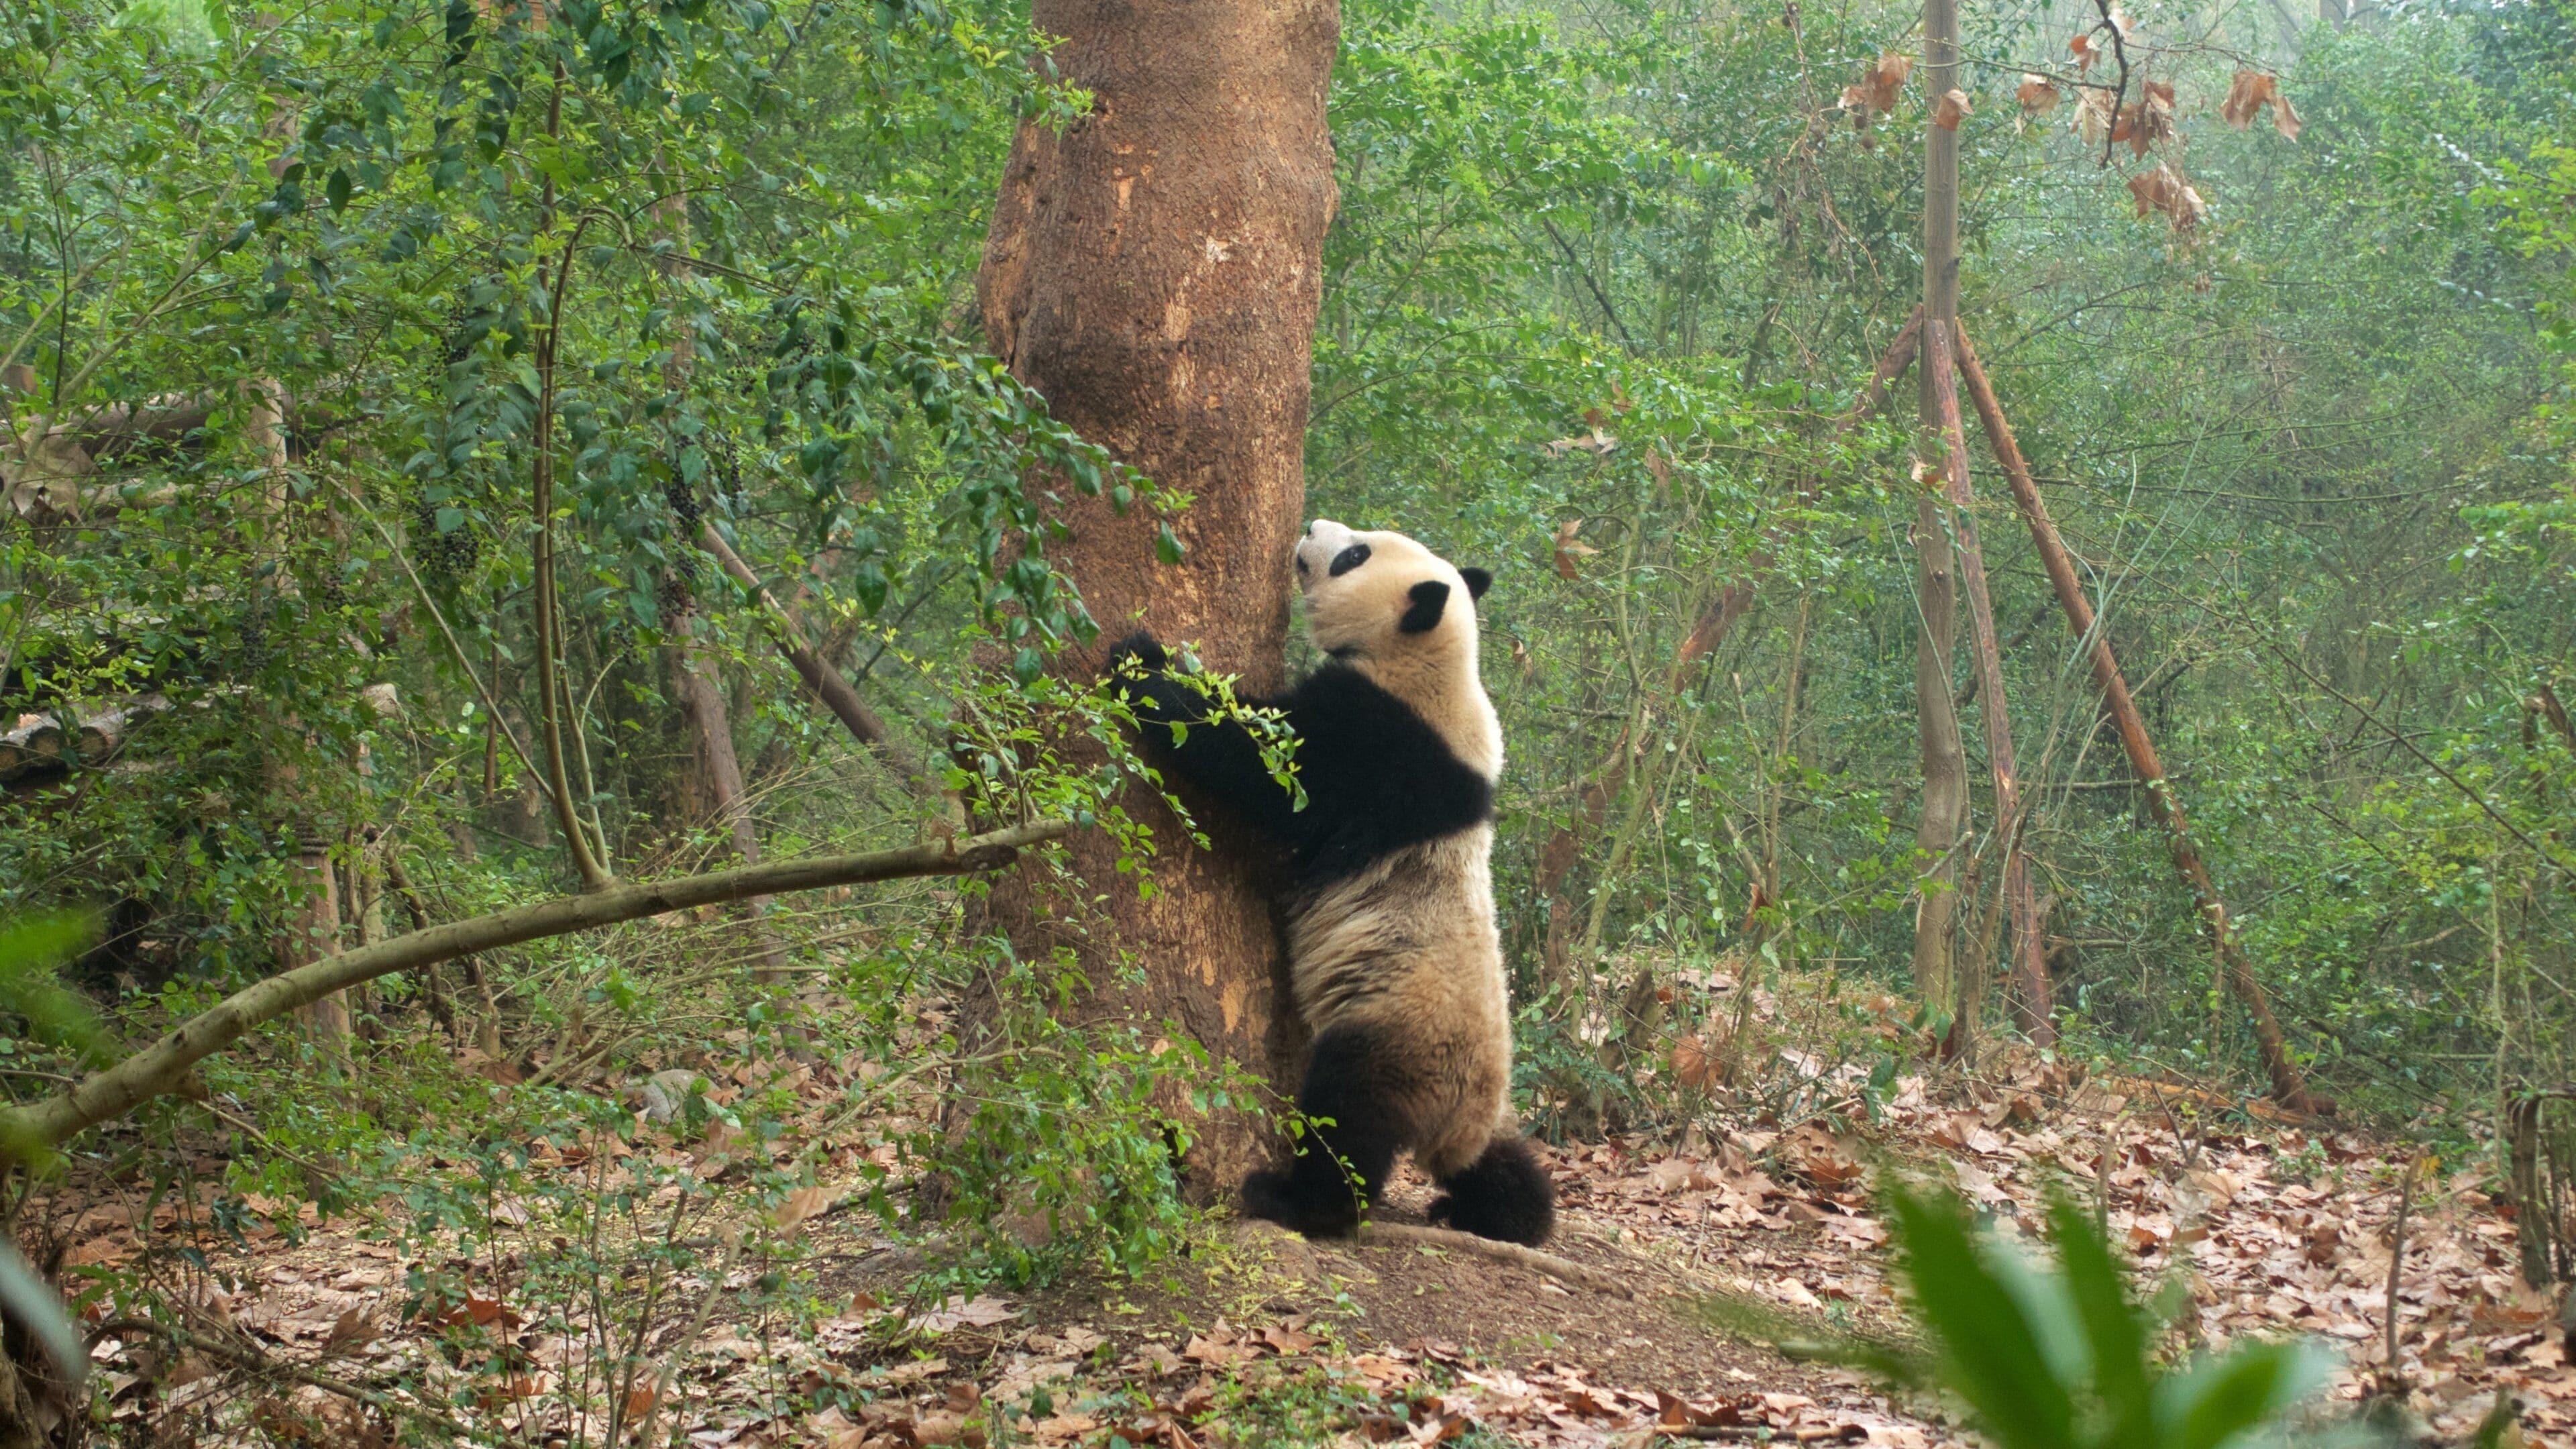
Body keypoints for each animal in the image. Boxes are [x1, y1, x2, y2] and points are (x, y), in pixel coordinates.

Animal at [1109, 518, 1555, 1247]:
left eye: (1354, 555)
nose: (1314, 527)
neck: (1436, 659)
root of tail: (1457, 1116)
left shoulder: (1380, 742)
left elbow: (1267, 763)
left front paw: (1144, 665)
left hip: (1394, 1032)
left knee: (1347, 1119)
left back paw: (1297, 1201)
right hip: (1483, 1100)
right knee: (1503, 1162)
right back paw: (1497, 1211)